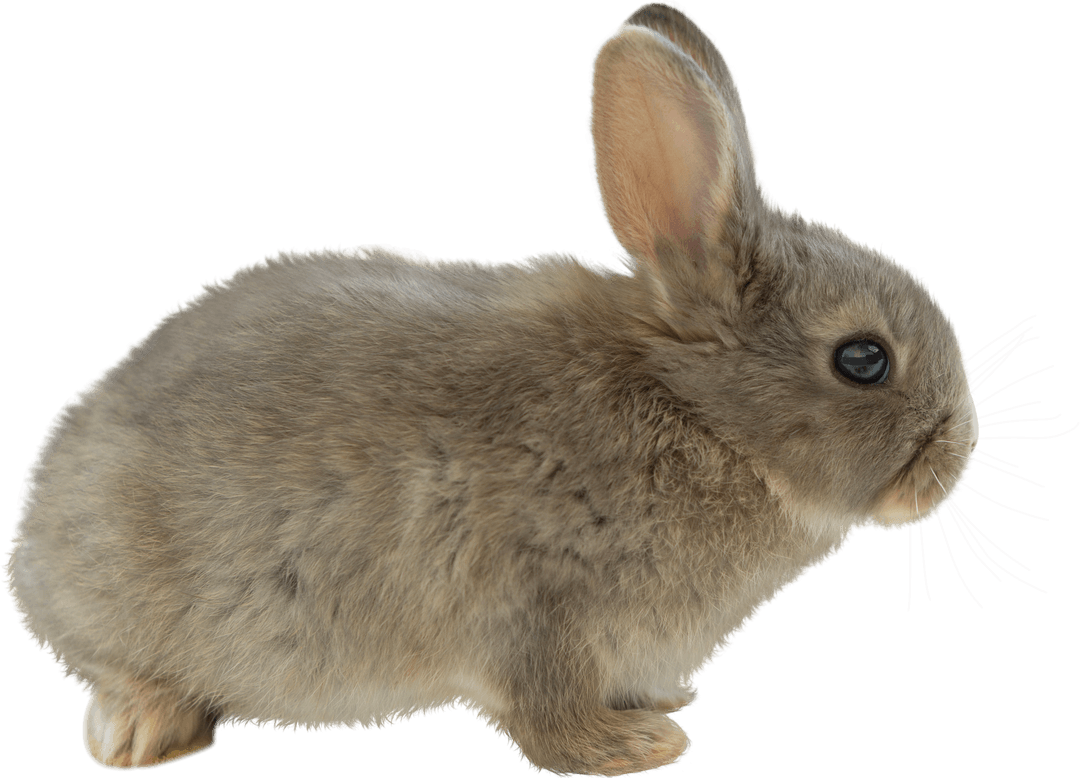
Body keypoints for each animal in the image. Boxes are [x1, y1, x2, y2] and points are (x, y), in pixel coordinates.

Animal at [4, 1, 980, 775]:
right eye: (863, 359)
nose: (958, 451)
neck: (700, 415)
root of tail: (31, 533)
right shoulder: (532, 608)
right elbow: (543, 714)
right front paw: (638, 748)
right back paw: (138, 731)